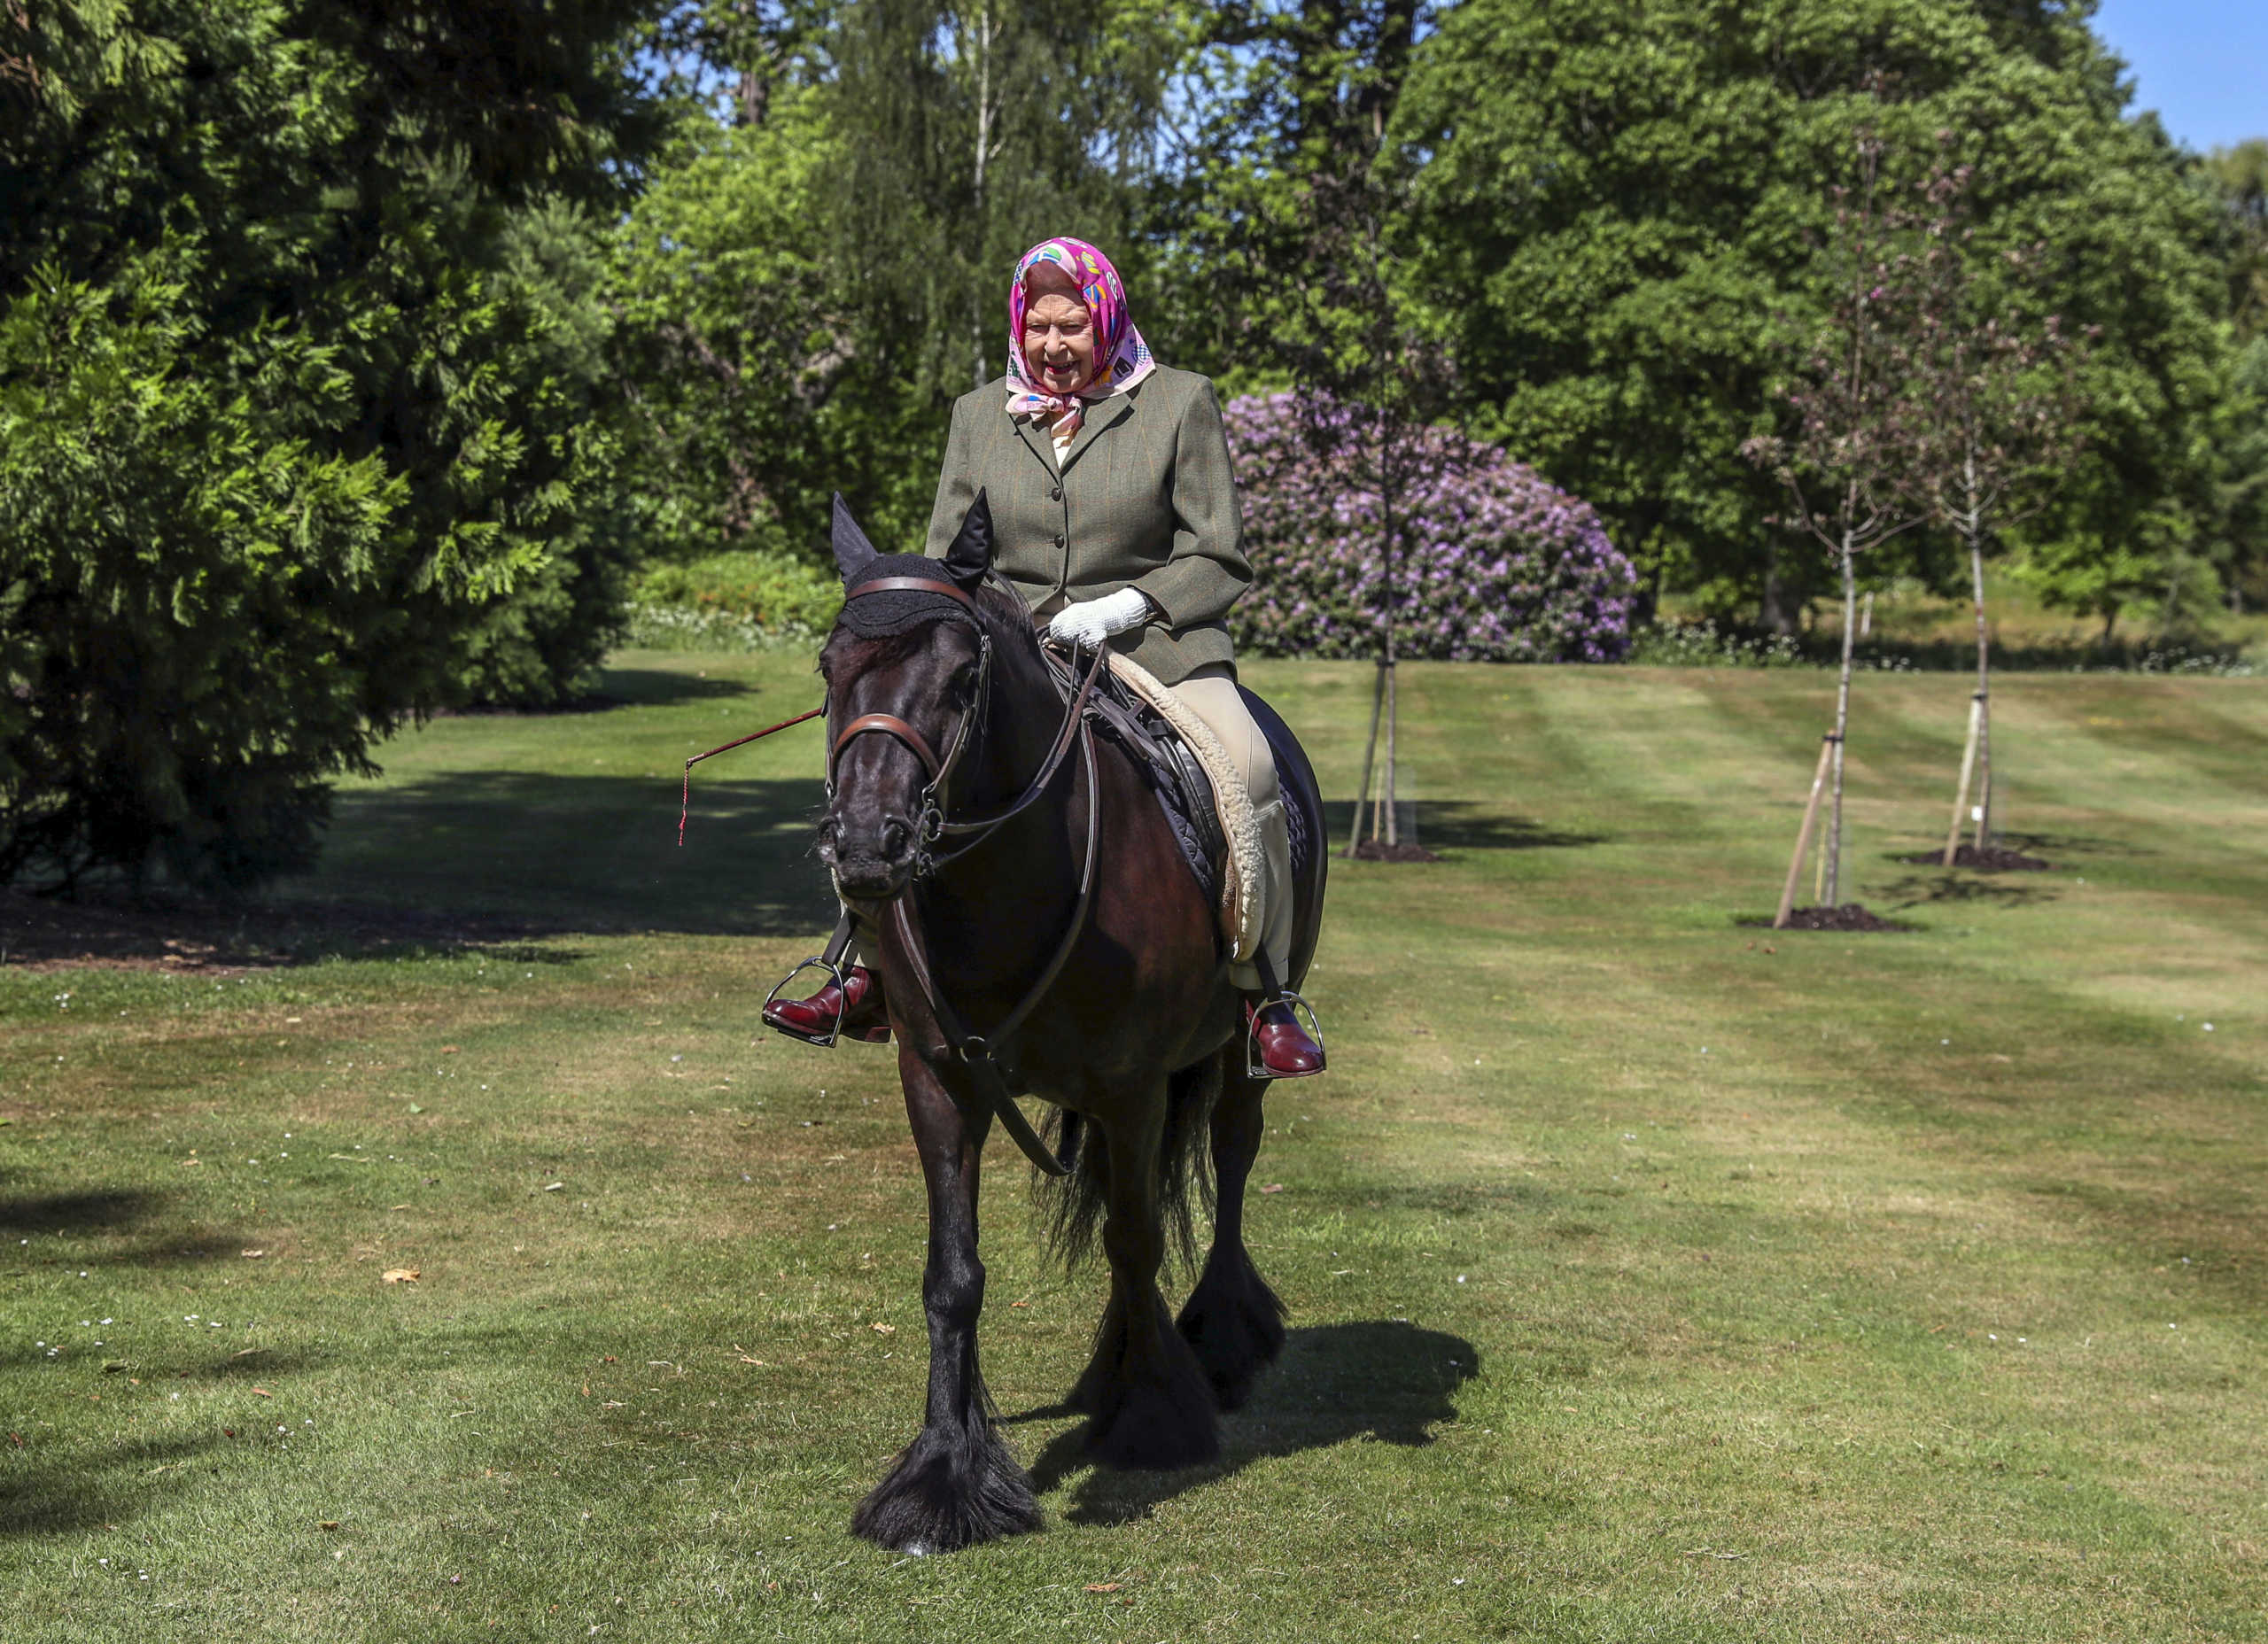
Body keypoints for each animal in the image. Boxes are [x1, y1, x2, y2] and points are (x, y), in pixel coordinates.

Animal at [816, 494, 1324, 1541]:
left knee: (1230, 1162)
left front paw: (1155, 1416)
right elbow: (953, 1273)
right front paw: (945, 1473)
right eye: (827, 667)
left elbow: (1134, 1241)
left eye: (962, 676)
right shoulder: (939, 1078)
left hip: (1237, 1053)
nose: (868, 844)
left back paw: (1217, 1336)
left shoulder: (1132, 1084)